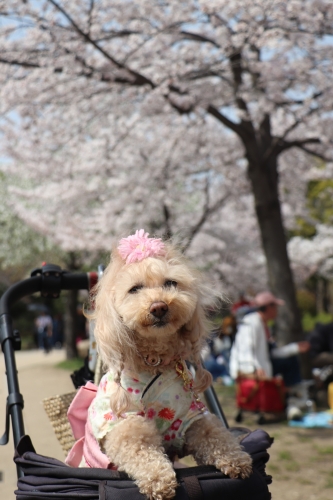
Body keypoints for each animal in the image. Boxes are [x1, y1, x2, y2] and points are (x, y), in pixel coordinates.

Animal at [86, 230, 252, 500]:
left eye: (170, 283)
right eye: (134, 289)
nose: (159, 307)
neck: (154, 359)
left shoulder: (191, 417)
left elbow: (214, 434)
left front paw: (236, 459)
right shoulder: (126, 424)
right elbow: (140, 450)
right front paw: (159, 481)